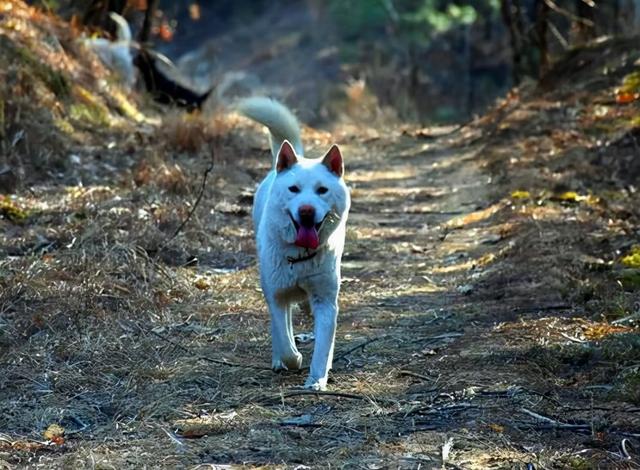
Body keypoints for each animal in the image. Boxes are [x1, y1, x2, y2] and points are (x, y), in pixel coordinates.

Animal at [239, 96, 350, 390]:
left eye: (322, 190)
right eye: (294, 189)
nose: (307, 211)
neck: (301, 256)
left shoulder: (325, 300)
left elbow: (323, 344)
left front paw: (317, 379)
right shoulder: (276, 295)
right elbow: (284, 338)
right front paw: (291, 358)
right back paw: (279, 358)